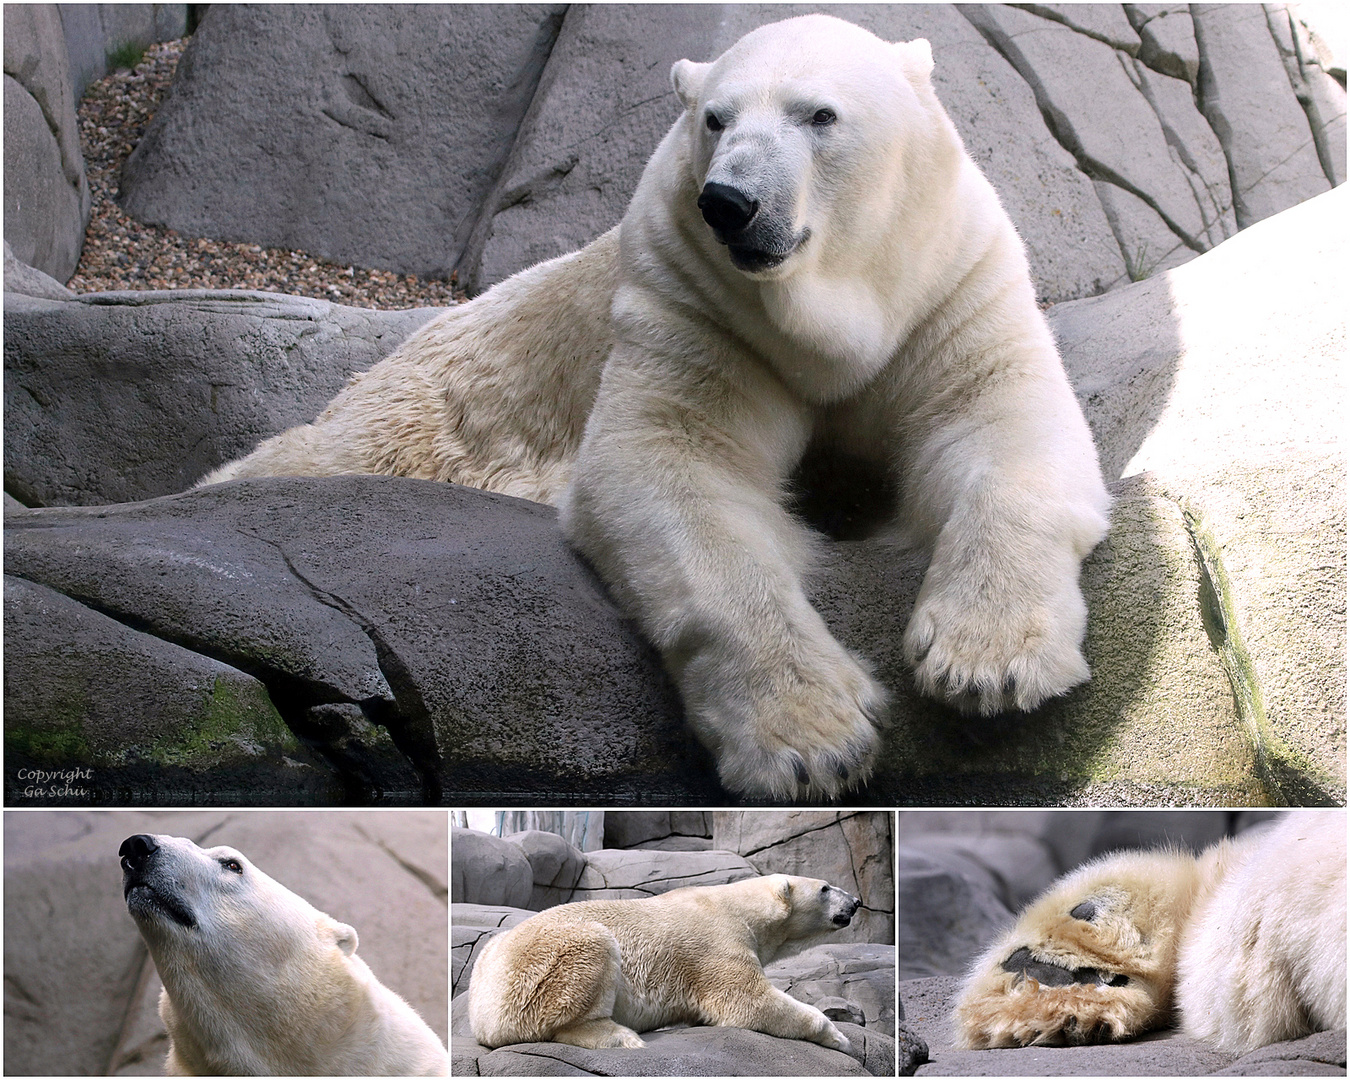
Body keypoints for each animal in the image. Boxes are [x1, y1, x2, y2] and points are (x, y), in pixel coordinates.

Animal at [199, 12, 1107, 799]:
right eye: (715, 118)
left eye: (819, 114)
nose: (731, 202)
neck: (829, 309)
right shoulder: (696, 300)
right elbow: (675, 464)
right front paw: (813, 740)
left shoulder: (948, 281)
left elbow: (998, 418)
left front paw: (987, 662)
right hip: (415, 413)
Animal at [469, 874, 858, 1053]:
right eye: (825, 888)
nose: (855, 902)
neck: (737, 906)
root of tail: (480, 1019)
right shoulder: (716, 941)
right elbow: (748, 1000)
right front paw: (839, 1037)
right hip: (537, 968)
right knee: (589, 952)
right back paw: (621, 1035)